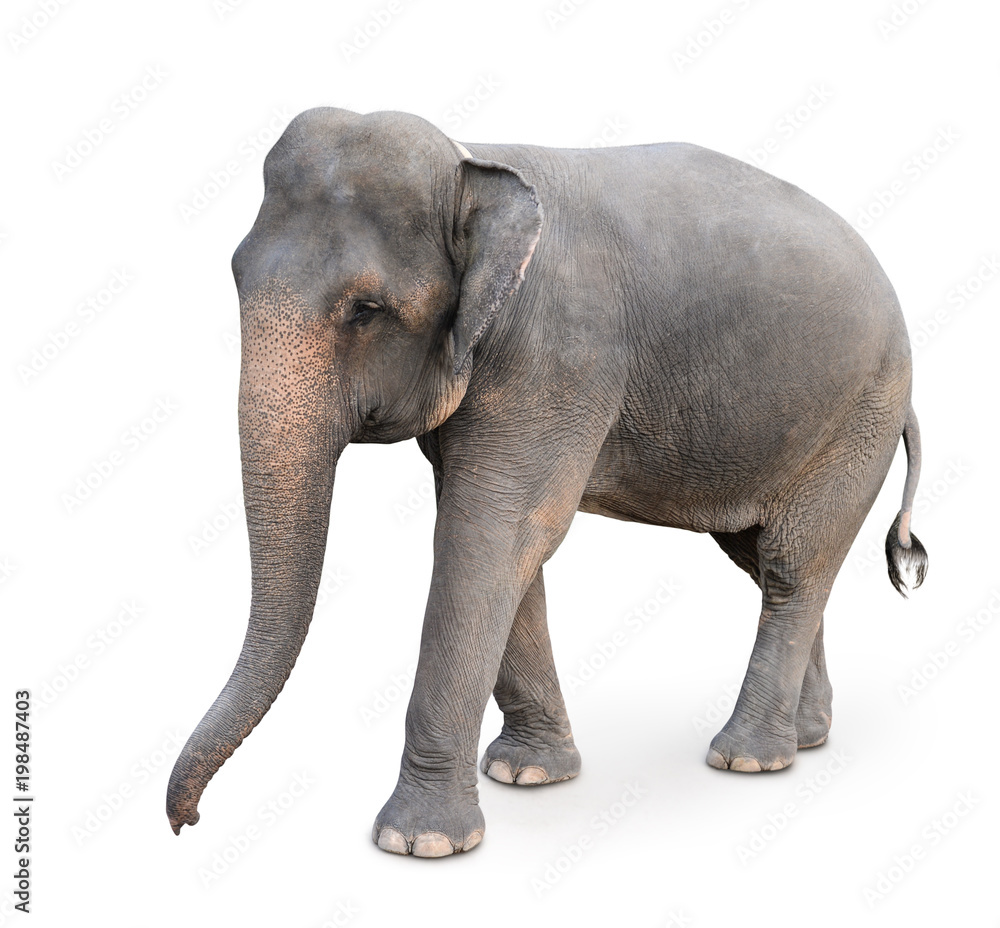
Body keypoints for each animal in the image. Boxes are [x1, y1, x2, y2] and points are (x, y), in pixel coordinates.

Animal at [166, 107, 928, 857]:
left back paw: (748, 758)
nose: (187, 823)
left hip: (860, 411)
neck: (472, 161)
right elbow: (505, 543)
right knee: (767, 559)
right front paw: (527, 773)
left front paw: (419, 841)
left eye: (366, 309)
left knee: (792, 563)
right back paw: (806, 737)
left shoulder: (556, 352)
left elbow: (491, 536)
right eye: (235, 276)